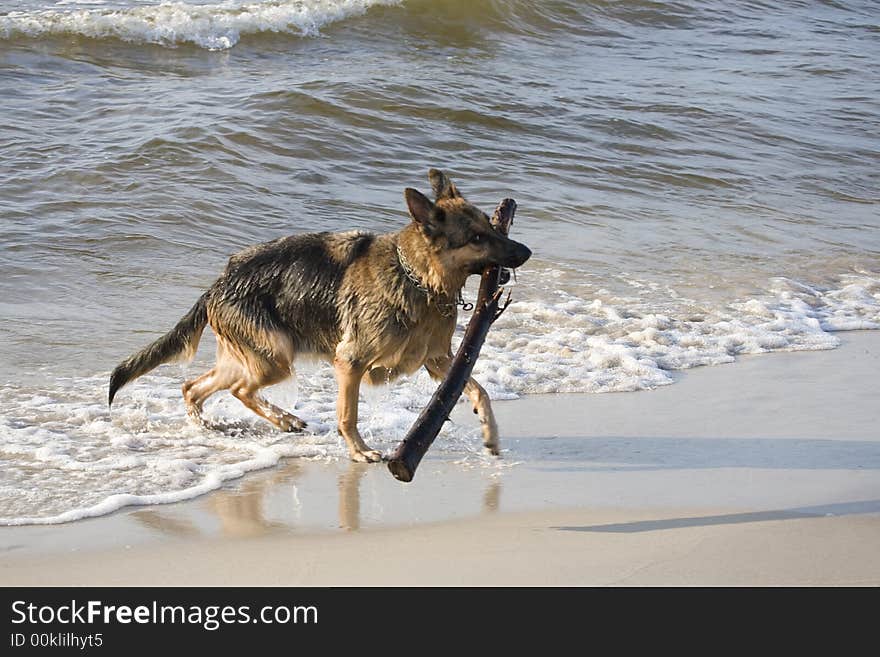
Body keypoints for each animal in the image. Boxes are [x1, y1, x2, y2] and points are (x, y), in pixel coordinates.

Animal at [108, 172, 528, 464]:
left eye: (491, 226)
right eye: (476, 238)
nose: (525, 252)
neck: (416, 277)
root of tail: (219, 283)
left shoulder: (439, 362)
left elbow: (480, 391)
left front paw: (490, 434)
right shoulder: (350, 363)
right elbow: (348, 414)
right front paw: (359, 451)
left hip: (254, 358)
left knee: (194, 387)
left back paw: (217, 426)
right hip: (275, 358)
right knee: (238, 390)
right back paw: (282, 420)